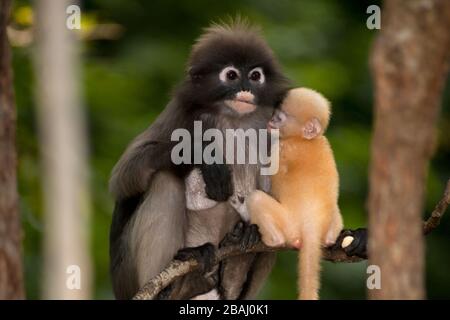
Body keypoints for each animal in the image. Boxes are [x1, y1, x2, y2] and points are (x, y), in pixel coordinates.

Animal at [246, 87, 342, 300]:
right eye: (275, 113)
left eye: (280, 118)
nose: (271, 121)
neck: (306, 139)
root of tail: (312, 226)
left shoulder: (280, 148)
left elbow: (267, 183)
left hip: (287, 223)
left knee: (256, 198)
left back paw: (272, 239)